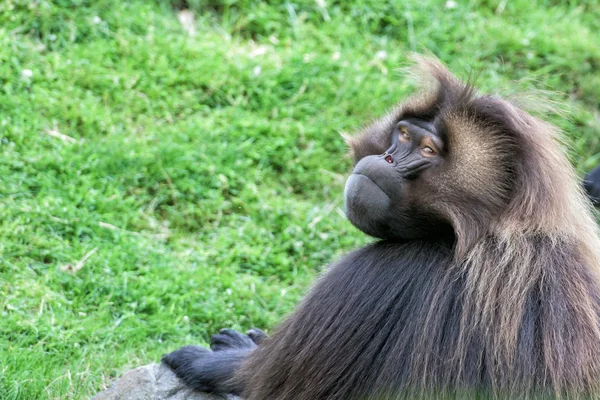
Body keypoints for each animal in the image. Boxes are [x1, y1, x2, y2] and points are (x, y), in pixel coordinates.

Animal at [163, 57, 600, 400]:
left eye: (427, 150)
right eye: (403, 133)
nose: (386, 158)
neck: (492, 229)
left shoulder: (374, 277)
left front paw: (219, 359)